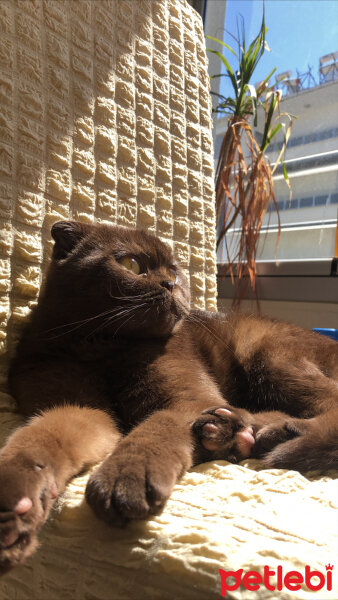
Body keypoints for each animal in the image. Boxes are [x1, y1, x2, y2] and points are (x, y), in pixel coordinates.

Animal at [0, 219, 338, 572]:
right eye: (132, 264)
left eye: (175, 271)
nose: (170, 284)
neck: (105, 349)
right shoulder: (78, 408)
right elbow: (38, 440)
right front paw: (14, 506)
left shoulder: (188, 400)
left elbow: (154, 430)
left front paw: (127, 477)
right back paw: (247, 431)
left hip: (266, 353)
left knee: (330, 402)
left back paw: (274, 432)